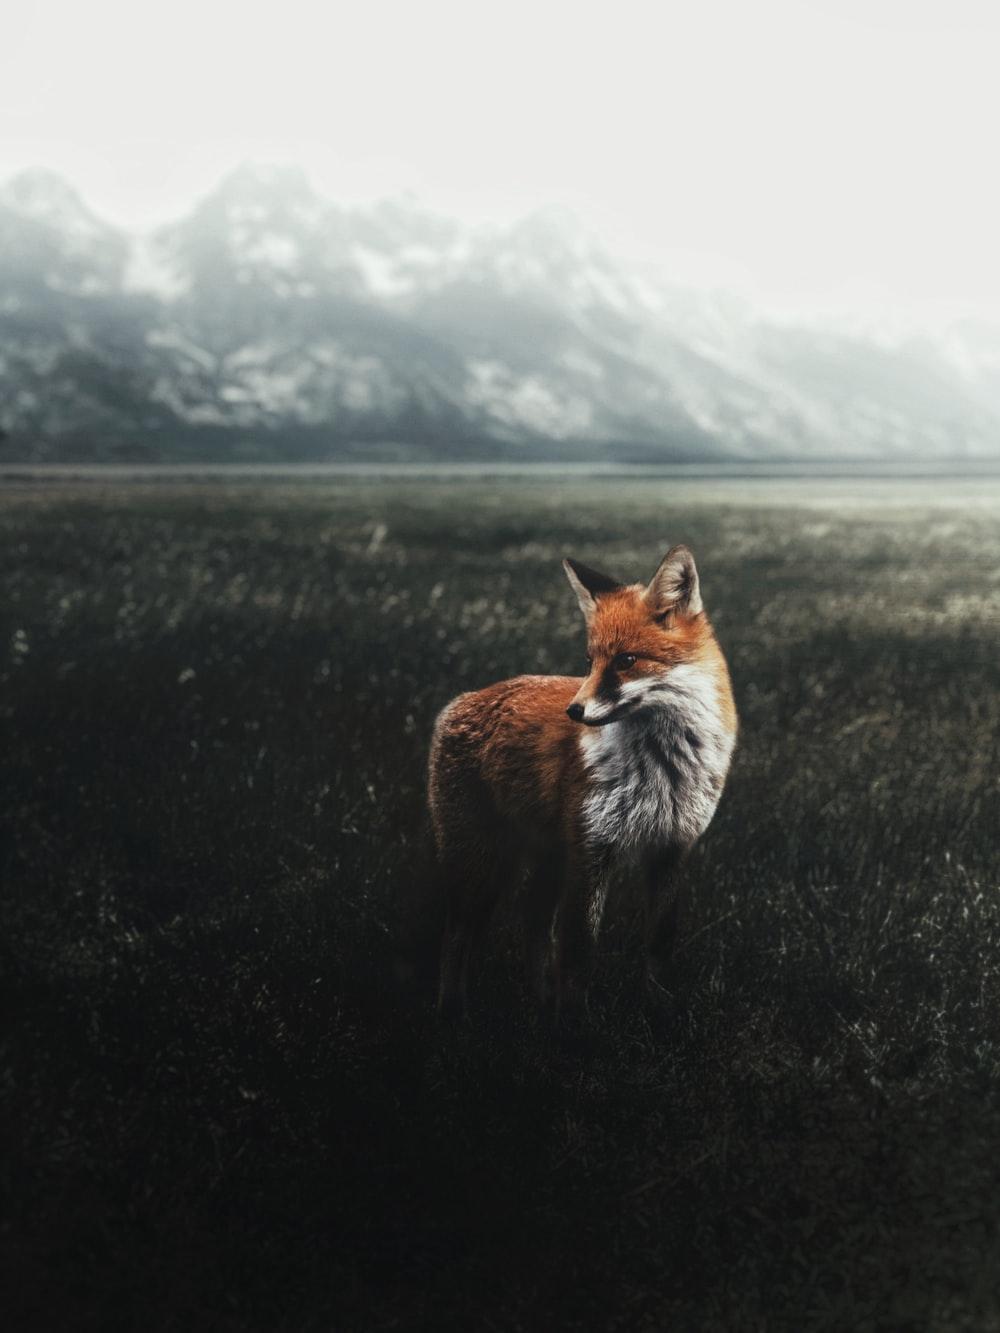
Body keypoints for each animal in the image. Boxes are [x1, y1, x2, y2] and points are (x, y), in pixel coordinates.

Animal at [427, 545, 737, 1019]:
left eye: (626, 661)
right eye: (590, 662)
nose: (574, 711)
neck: (660, 767)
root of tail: (460, 701)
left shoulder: (671, 847)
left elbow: (659, 945)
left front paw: (658, 1011)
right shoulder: (592, 850)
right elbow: (577, 954)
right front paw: (574, 1025)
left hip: (547, 857)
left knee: (533, 923)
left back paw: (539, 1001)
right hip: (481, 862)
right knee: (456, 936)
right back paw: (453, 1011)